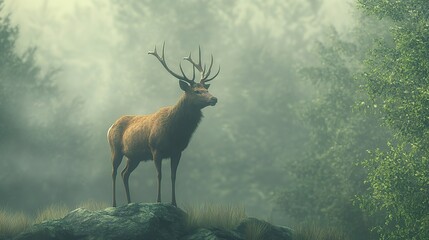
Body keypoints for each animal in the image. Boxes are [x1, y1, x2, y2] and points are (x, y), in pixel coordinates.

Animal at [107, 42, 221, 206]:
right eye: (197, 91)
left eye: (206, 88)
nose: (214, 99)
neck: (176, 132)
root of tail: (110, 127)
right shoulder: (156, 149)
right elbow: (159, 175)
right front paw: (158, 201)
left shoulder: (177, 151)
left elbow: (173, 176)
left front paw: (174, 202)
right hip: (115, 149)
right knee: (114, 172)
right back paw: (115, 204)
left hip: (134, 157)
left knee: (125, 173)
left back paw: (129, 202)